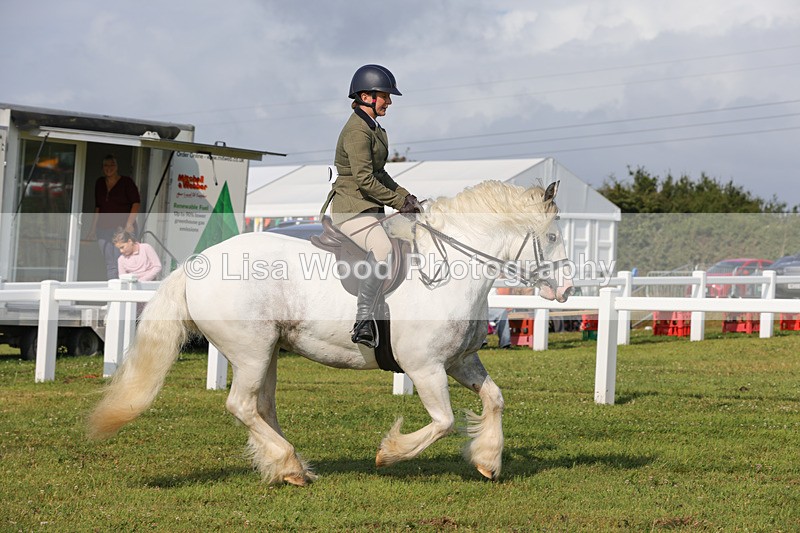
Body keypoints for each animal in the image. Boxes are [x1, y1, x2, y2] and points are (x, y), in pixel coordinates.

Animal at [88, 179, 574, 486]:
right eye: (552, 237)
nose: (567, 290)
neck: (449, 269)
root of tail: (195, 266)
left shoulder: (459, 361)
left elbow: (495, 399)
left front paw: (488, 460)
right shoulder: (425, 368)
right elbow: (444, 422)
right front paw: (389, 453)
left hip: (267, 352)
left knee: (262, 406)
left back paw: (289, 465)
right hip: (250, 350)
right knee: (241, 405)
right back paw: (288, 465)